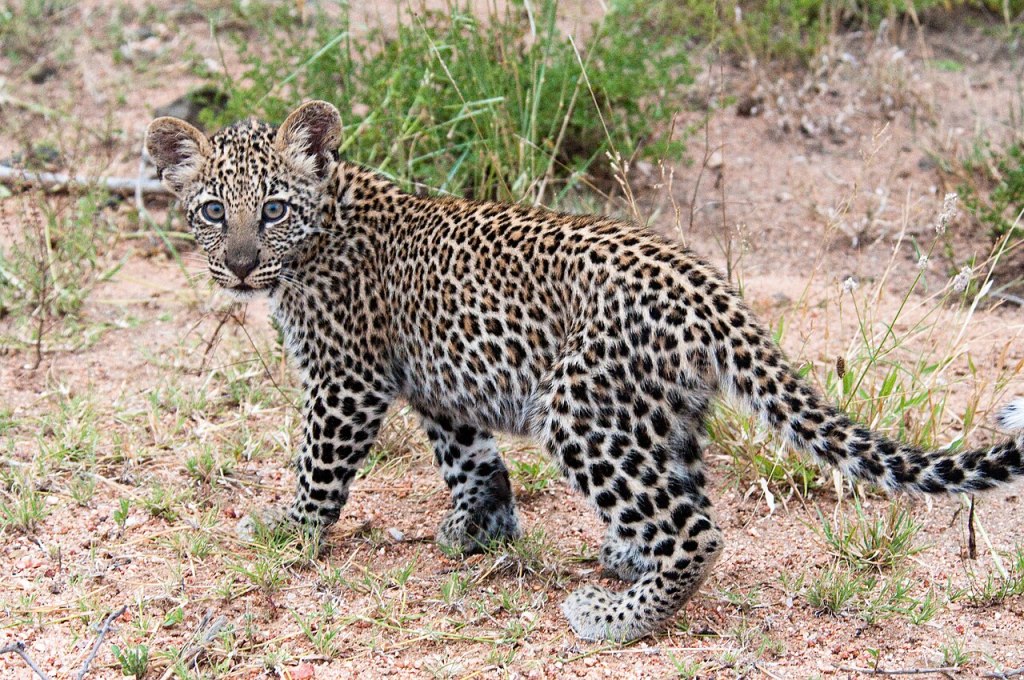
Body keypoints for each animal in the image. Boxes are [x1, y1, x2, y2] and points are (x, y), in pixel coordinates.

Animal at [146, 100, 1024, 642]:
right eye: (213, 210)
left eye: (274, 209)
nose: (240, 266)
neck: (322, 225)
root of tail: (709, 289)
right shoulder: (435, 379)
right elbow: (469, 459)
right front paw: (480, 529)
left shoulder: (345, 378)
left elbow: (320, 465)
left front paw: (291, 531)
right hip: (659, 413)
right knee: (683, 498)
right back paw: (625, 561)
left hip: (578, 407)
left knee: (697, 530)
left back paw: (617, 618)